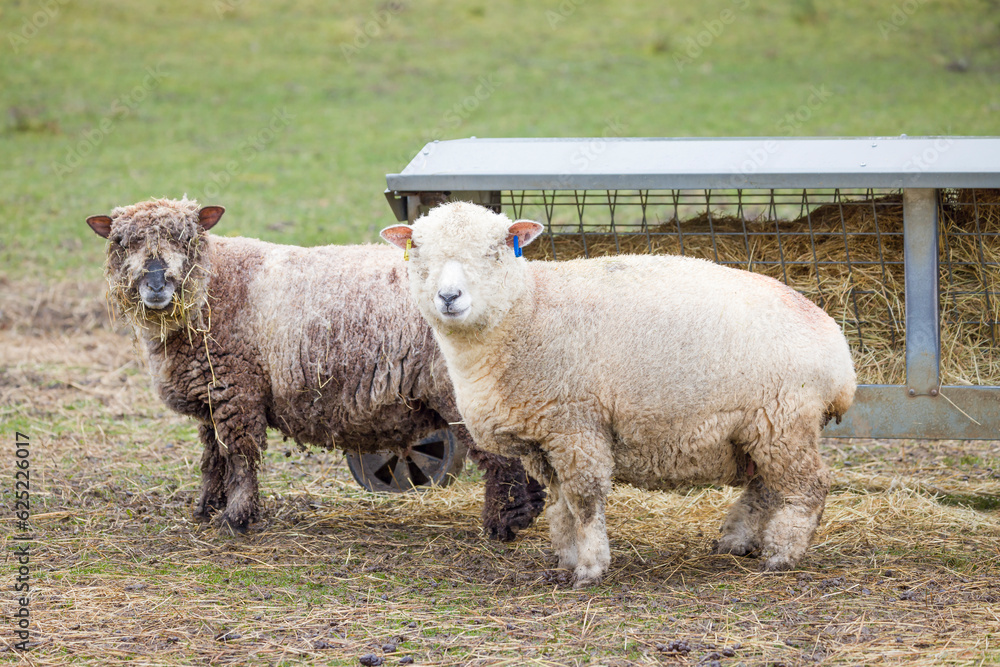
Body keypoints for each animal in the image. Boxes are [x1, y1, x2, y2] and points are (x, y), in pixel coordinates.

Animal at [85, 197, 545, 538]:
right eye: (122, 241)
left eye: (185, 237)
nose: (156, 283)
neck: (216, 286)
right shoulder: (213, 396)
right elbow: (212, 457)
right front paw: (206, 508)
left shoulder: (237, 389)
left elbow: (239, 457)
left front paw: (236, 518)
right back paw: (528, 512)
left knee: (501, 459)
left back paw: (502, 524)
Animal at [381, 201, 857, 587]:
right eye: (417, 250)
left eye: (495, 250)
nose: (449, 296)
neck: (527, 312)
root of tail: (840, 354)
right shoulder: (543, 440)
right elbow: (561, 506)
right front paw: (566, 560)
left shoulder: (576, 425)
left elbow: (585, 502)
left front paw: (591, 568)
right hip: (758, 427)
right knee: (765, 486)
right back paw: (739, 539)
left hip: (784, 418)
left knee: (809, 487)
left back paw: (782, 554)